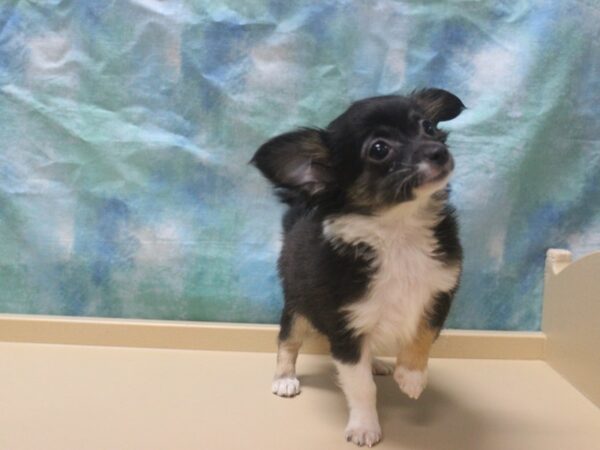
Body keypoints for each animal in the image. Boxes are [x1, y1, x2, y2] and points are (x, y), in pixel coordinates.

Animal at [251, 89, 466, 446]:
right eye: (379, 149)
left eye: (427, 126)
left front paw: (411, 375)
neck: (399, 232)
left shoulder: (439, 291)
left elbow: (423, 333)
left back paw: (378, 362)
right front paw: (365, 426)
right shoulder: (345, 326)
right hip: (299, 305)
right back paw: (284, 377)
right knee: (288, 339)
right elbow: (361, 386)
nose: (439, 151)